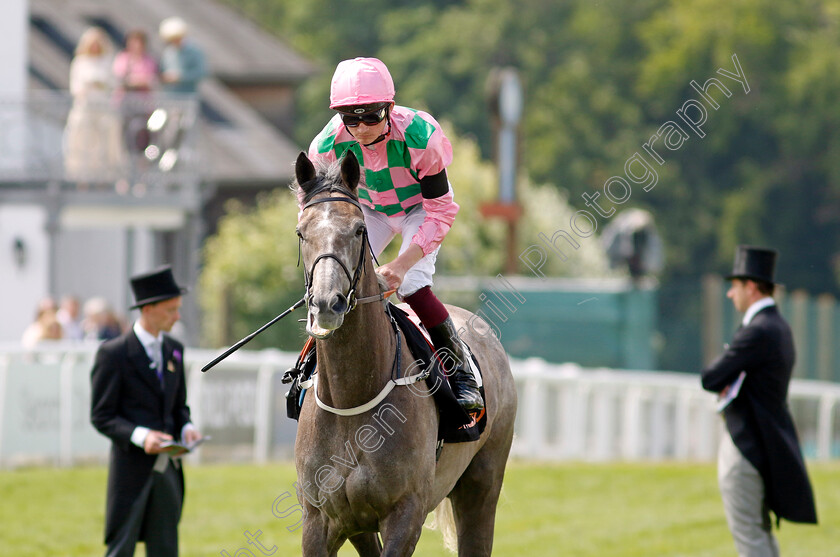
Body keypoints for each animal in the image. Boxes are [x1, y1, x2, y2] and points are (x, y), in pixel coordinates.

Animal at [296, 152, 520, 556]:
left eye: (358, 230)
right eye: (301, 232)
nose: (327, 304)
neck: (353, 398)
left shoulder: (406, 513)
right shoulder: (321, 519)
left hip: (482, 483)